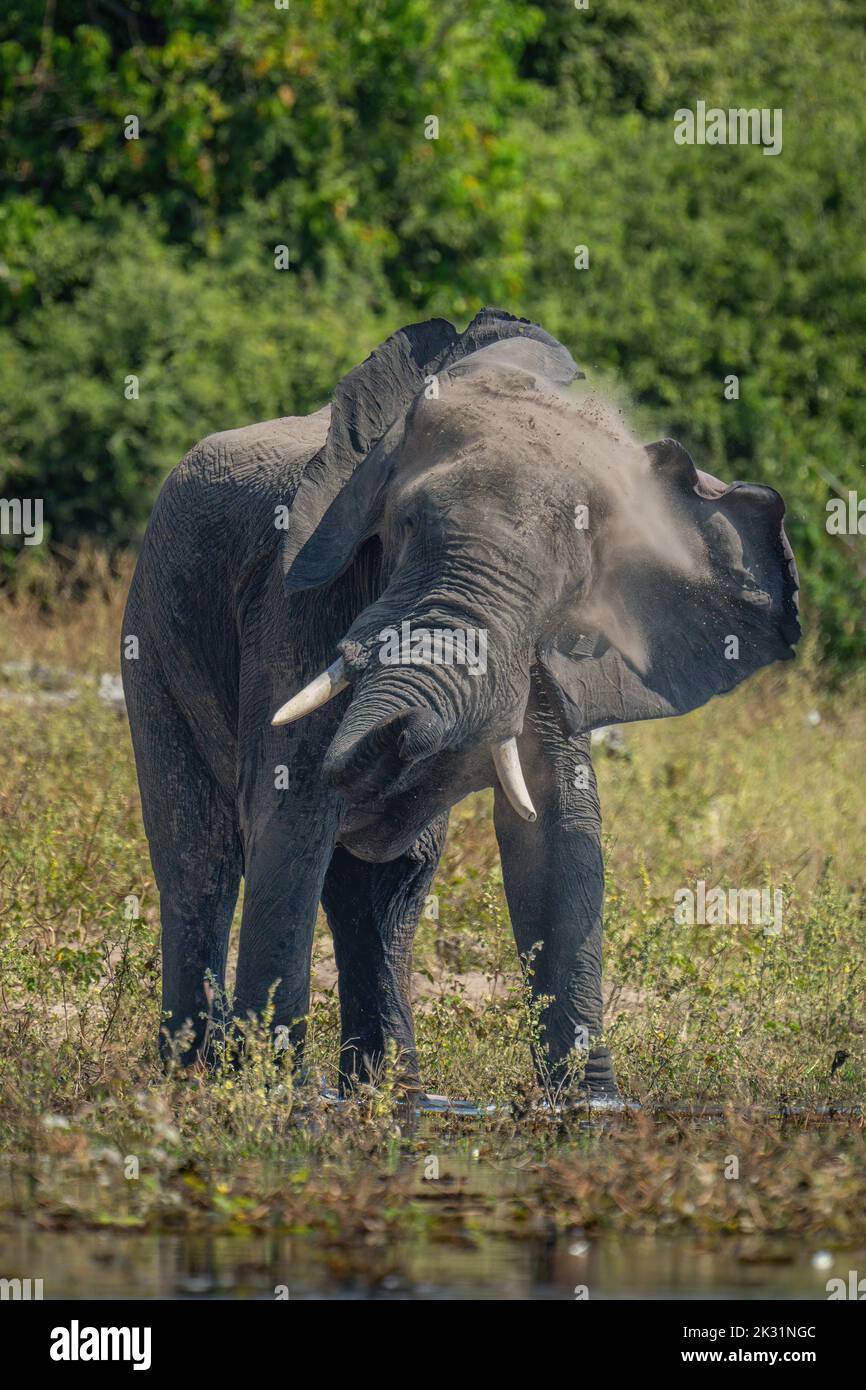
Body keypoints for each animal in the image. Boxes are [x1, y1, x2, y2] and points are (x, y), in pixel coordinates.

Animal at [122, 308, 800, 1101]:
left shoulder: (546, 660)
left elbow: (560, 833)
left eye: (571, 583)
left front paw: (592, 1107)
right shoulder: (295, 603)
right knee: (199, 858)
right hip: (151, 627)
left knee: (387, 890)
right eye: (405, 525)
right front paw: (275, 1097)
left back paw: (389, 1093)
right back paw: (197, 1075)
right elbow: (289, 815)